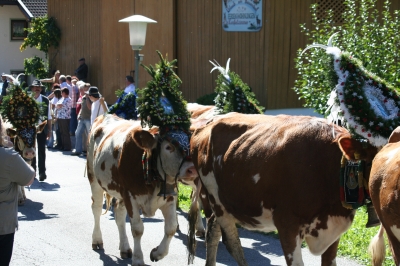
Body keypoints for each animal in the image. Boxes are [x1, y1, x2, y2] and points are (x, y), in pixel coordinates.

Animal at [89, 113, 198, 264]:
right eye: (168, 147)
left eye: (189, 144)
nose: (192, 169)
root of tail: (106, 115)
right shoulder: (130, 196)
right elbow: (137, 229)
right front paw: (138, 259)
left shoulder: (169, 197)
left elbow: (171, 227)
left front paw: (157, 253)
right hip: (94, 178)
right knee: (97, 208)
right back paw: (97, 240)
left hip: (120, 192)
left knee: (119, 213)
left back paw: (125, 248)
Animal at [188, 114, 378, 266]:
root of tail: (207, 123)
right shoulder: (287, 223)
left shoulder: (333, 228)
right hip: (216, 198)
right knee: (231, 240)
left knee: (213, 231)